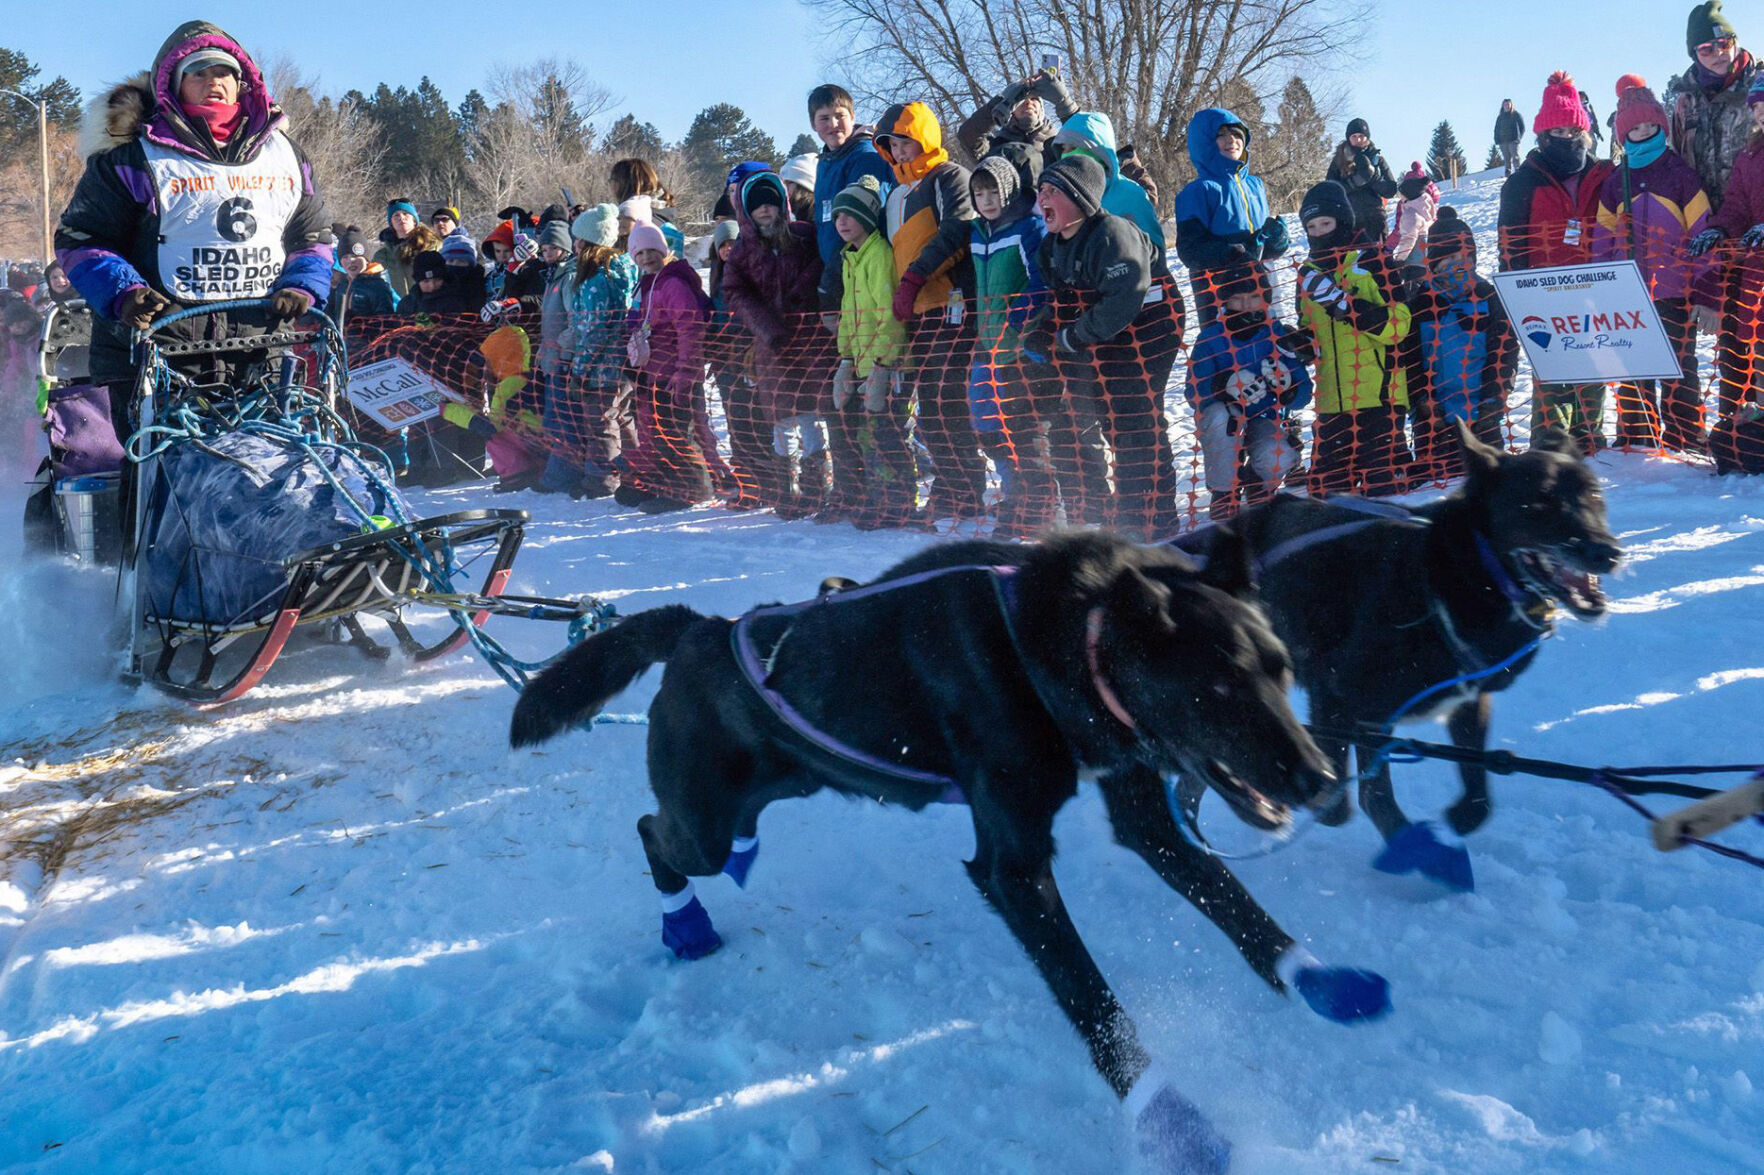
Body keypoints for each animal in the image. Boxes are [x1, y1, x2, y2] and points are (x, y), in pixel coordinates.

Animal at [511, 529, 1390, 1171]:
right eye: (1220, 688)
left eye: (1281, 669)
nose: (1319, 777)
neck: (1049, 641)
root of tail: (703, 628)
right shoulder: (1014, 870)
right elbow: (1100, 1008)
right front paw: (1173, 1122)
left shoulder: (1144, 814)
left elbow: (1234, 903)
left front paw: (1319, 978)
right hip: (703, 818)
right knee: (651, 830)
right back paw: (684, 923)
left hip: (783, 787)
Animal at [1192, 421, 1615, 889]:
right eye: (1538, 502)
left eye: (1594, 497)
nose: (1606, 551)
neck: (1451, 576)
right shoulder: (1342, 699)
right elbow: (1358, 797)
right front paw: (1413, 847)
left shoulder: (1466, 700)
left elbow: (1477, 795)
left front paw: (1456, 819)